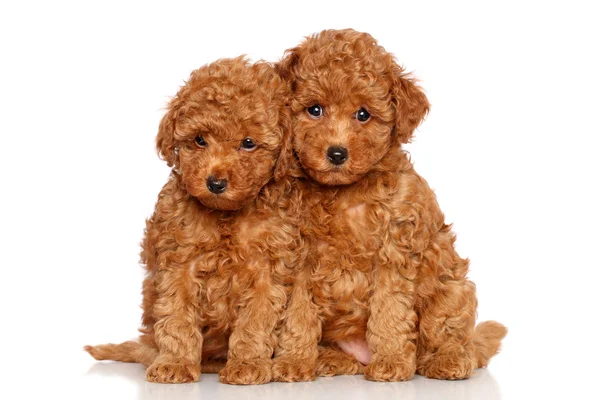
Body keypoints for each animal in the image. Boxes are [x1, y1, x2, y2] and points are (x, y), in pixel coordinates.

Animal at [85, 56, 302, 384]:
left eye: (248, 143)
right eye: (199, 140)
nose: (215, 183)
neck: (227, 215)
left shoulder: (268, 268)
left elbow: (256, 318)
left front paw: (248, 363)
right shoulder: (179, 263)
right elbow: (177, 316)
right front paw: (175, 363)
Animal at [272, 29, 506, 382]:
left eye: (363, 114)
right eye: (314, 110)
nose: (336, 153)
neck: (343, 194)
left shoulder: (393, 253)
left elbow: (390, 310)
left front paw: (392, 361)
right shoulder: (300, 258)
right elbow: (297, 313)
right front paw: (293, 361)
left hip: (451, 290)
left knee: (450, 334)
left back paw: (448, 360)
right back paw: (329, 359)